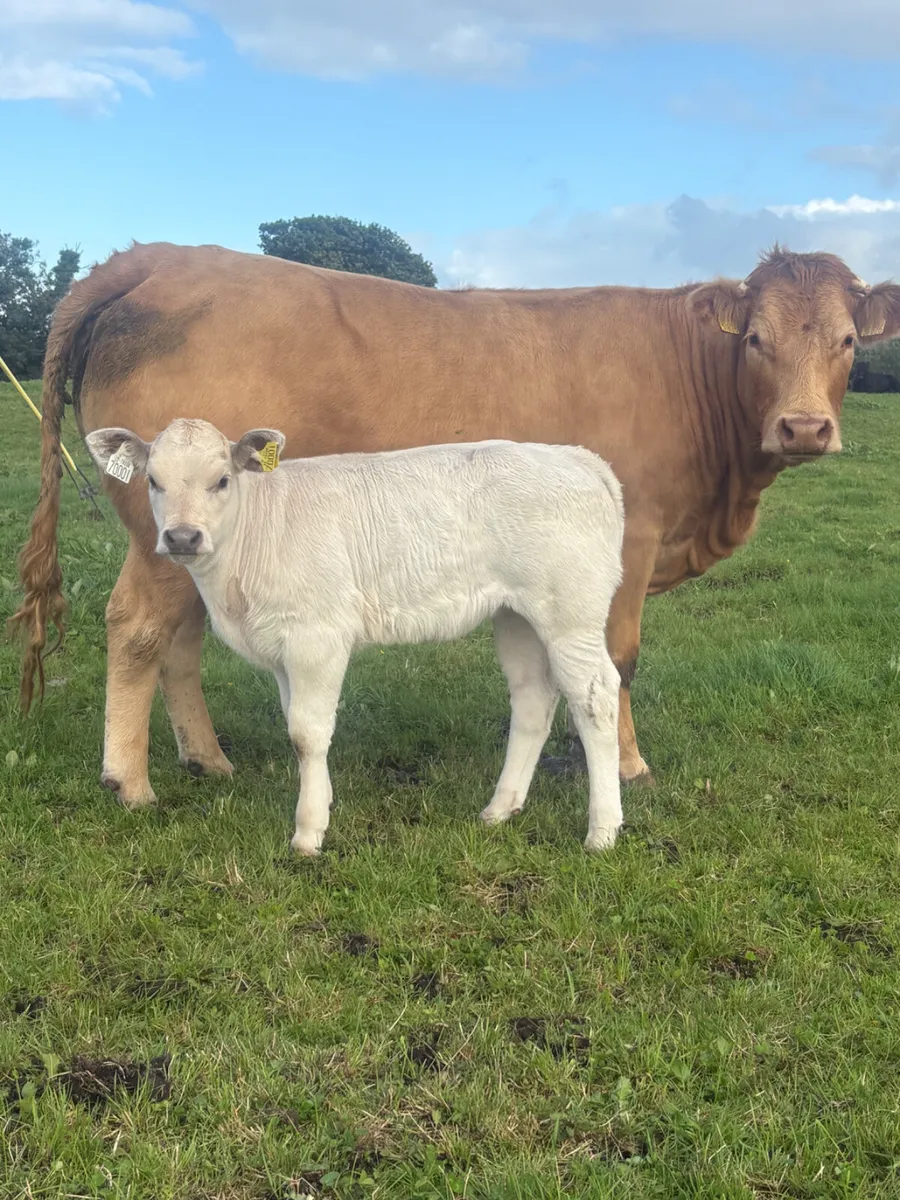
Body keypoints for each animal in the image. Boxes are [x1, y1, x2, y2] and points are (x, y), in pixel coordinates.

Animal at [11, 242, 900, 810]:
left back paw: (208, 759)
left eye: (847, 341)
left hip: (198, 544)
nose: (804, 427)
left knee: (180, 639)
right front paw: (627, 765)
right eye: (756, 339)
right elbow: (620, 661)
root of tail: (157, 255)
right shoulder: (633, 539)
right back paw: (130, 783)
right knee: (135, 628)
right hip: (163, 529)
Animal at [84, 419, 626, 854]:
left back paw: (602, 830)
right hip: (516, 614)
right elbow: (297, 727)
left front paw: (307, 832)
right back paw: (501, 808)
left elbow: (306, 734)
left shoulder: (317, 636)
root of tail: (575, 457)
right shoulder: (284, 650)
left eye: (221, 480)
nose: (182, 537)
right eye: (153, 481)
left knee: (597, 697)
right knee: (534, 697)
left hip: (571, 612)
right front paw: (321, 803)